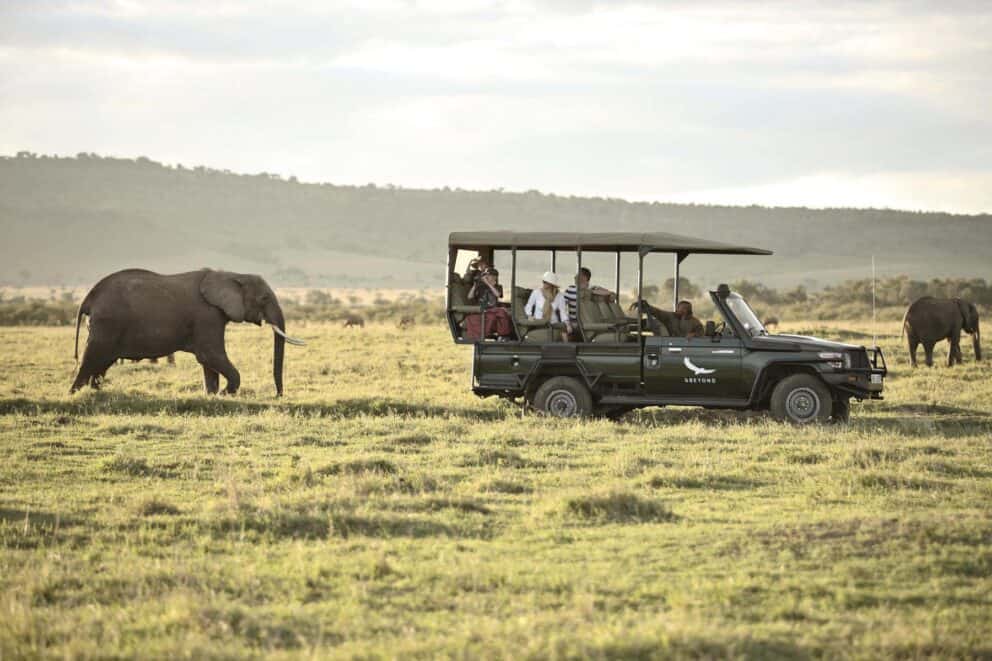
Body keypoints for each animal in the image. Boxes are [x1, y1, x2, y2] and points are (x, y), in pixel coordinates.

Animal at [71, 269, 304, 395]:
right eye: (264, 298)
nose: (278, 395)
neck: (232, 275)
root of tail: (88, 298)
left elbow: (209, 362)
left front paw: (212, 396)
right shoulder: (207, 315)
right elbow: (211, 356)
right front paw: (224, 394)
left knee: (101, 364)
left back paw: (95, 393)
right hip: (107, 323)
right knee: (91, 359)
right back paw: (74, 395)